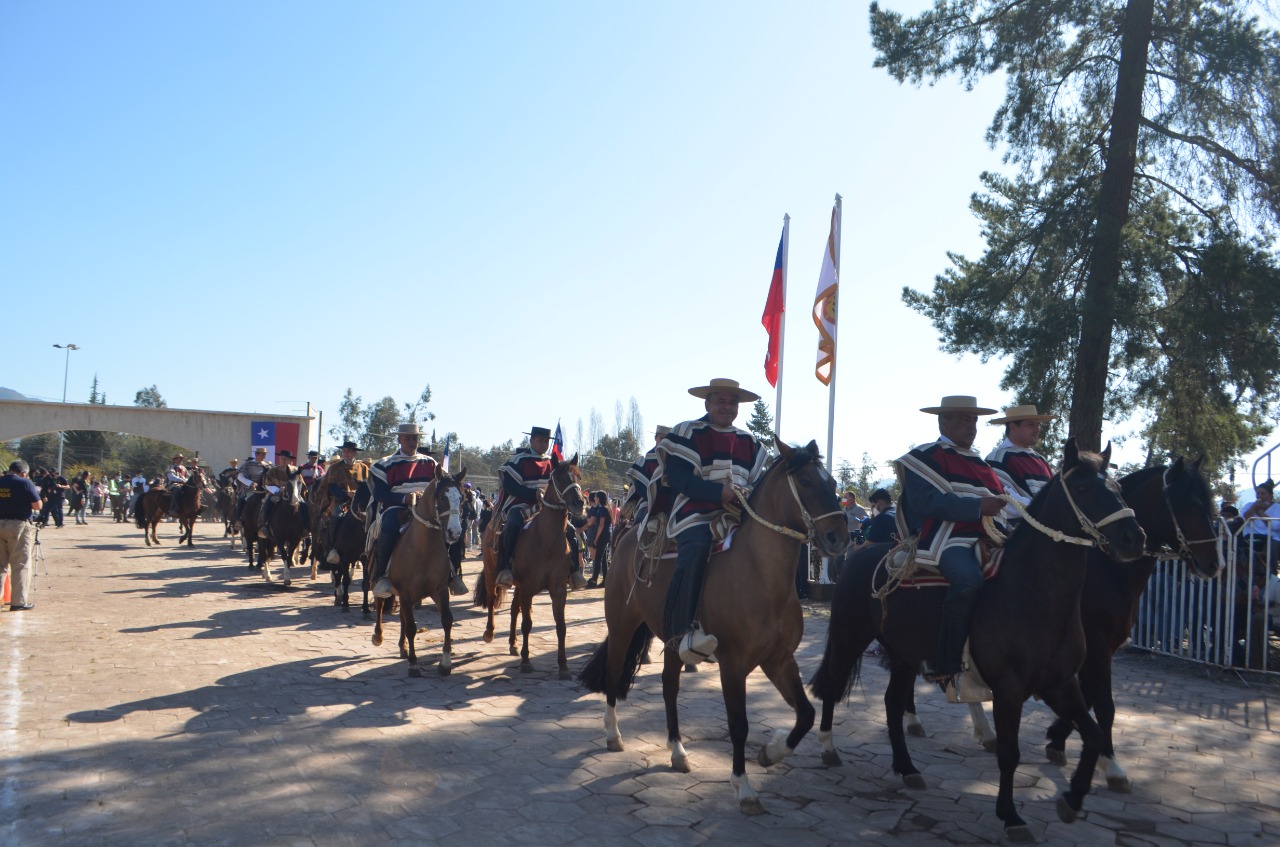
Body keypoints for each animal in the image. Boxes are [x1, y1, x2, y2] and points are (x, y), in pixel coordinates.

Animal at [373, 470, 468, 675]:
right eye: (442, 497)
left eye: (461, 498)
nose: (455, 533)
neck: (423, 548)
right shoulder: (406, 592)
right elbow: (411, 627)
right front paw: (414, 664)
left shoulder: (440, 590)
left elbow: (447, 620)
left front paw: (445, 663)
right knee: (379, 604)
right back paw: (378, 636)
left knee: (402, 616)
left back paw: (403, 648)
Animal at [473, 455, 586, 680]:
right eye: (559, 478)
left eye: (578, 476)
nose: (579, 503)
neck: (546, 540)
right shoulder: (527, 588)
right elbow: (527, 624)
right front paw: (526, 662)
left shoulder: (558, 590)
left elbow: (561, 626)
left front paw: (563, 666)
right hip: (491, 573)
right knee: (491, 599)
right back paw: (490, 633)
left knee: (514, 609)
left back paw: (513, 643)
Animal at [581, 440, 849, 813]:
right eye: (807, 481)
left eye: (834, 483)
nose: (840, 538)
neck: (761, 576)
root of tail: (629, 536)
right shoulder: (733, 666)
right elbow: (738, 725)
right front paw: (744, 787)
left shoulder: (779, 661)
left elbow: (807, 714)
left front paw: (770, 753)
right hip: (622, 625)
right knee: (614, 671)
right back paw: (613, 734)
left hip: (672, 640)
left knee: (669, 687)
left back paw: (678, 751)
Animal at [808, 440, 1152, 844]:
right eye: (1082, 488)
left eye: (1116, 488)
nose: (1134, 538)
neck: (1034, 594)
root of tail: (862, 552)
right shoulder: (1009, 689)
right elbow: (1009, 752)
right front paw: (1011, 815)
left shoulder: (1060, 684)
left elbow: (1095, 733)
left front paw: (1072, 799)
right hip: (849, 637)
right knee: (833, 686)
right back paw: (828, 747)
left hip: (903, 655)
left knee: (892, 703)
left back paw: (907, 768)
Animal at [901, 458, 1218, 798]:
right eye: (1187, 504)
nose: (1214, 564)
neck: (1104, 572)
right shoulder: (1096, 647)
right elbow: (1104, 704)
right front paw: (1111, 765)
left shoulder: (1090, 652)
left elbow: (1086, 698)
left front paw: (1058, 739)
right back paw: (914, 720)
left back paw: (984, 732)